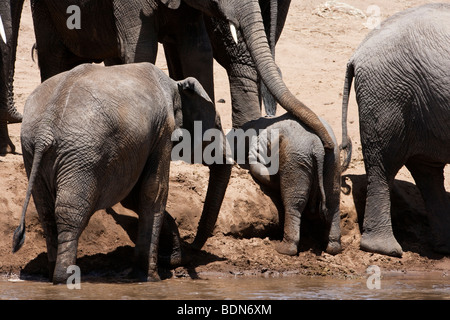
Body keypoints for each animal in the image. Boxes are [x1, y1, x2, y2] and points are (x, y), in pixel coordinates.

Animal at [12, 62, 230, 282]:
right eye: (218, 126)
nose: (193, 246)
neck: (175, 85)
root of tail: (45, 130)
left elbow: (133, 196)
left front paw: (173, 259)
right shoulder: (163, 130)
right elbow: (154, 190)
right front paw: (151, 277)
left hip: (33, 151)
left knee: (46, 213)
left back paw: (51, 276)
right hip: (82, 154)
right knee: (71, 213)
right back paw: (64, 278)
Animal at [229, 114, 348, 256]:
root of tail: (318, 147)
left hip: (296, 159)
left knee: (294, 203)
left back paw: (284, 250)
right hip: (333, 160)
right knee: (332, 201)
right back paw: (333, 248)